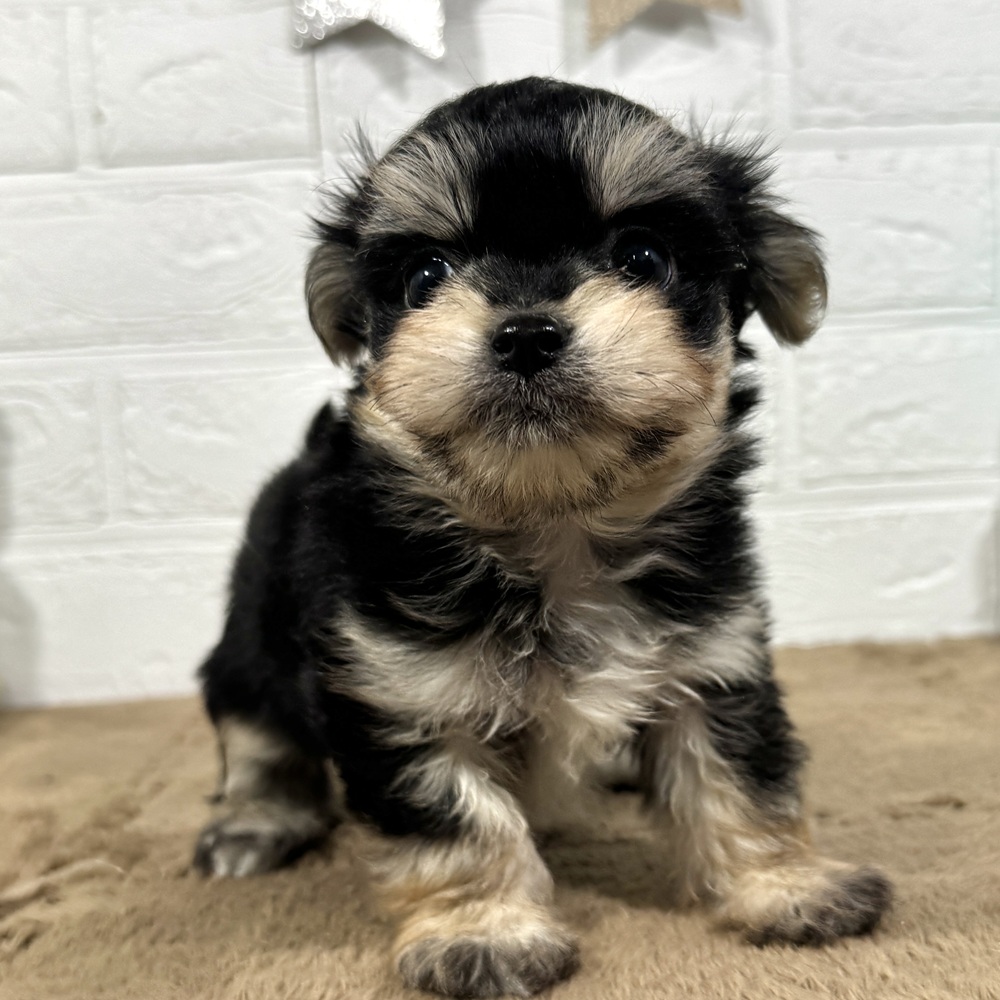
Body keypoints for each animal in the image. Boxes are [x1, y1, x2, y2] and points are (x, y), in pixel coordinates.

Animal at [194, 78, 891, 998]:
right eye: (426, 275)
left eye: (642, 258)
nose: (526, 331)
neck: (552, 523)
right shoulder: (400, 688)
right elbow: (456, 821)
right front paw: (483, 933)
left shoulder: (713, 654)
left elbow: (743, 774)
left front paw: (786, 885)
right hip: (254, 630)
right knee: (254, 726)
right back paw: (257, 819)